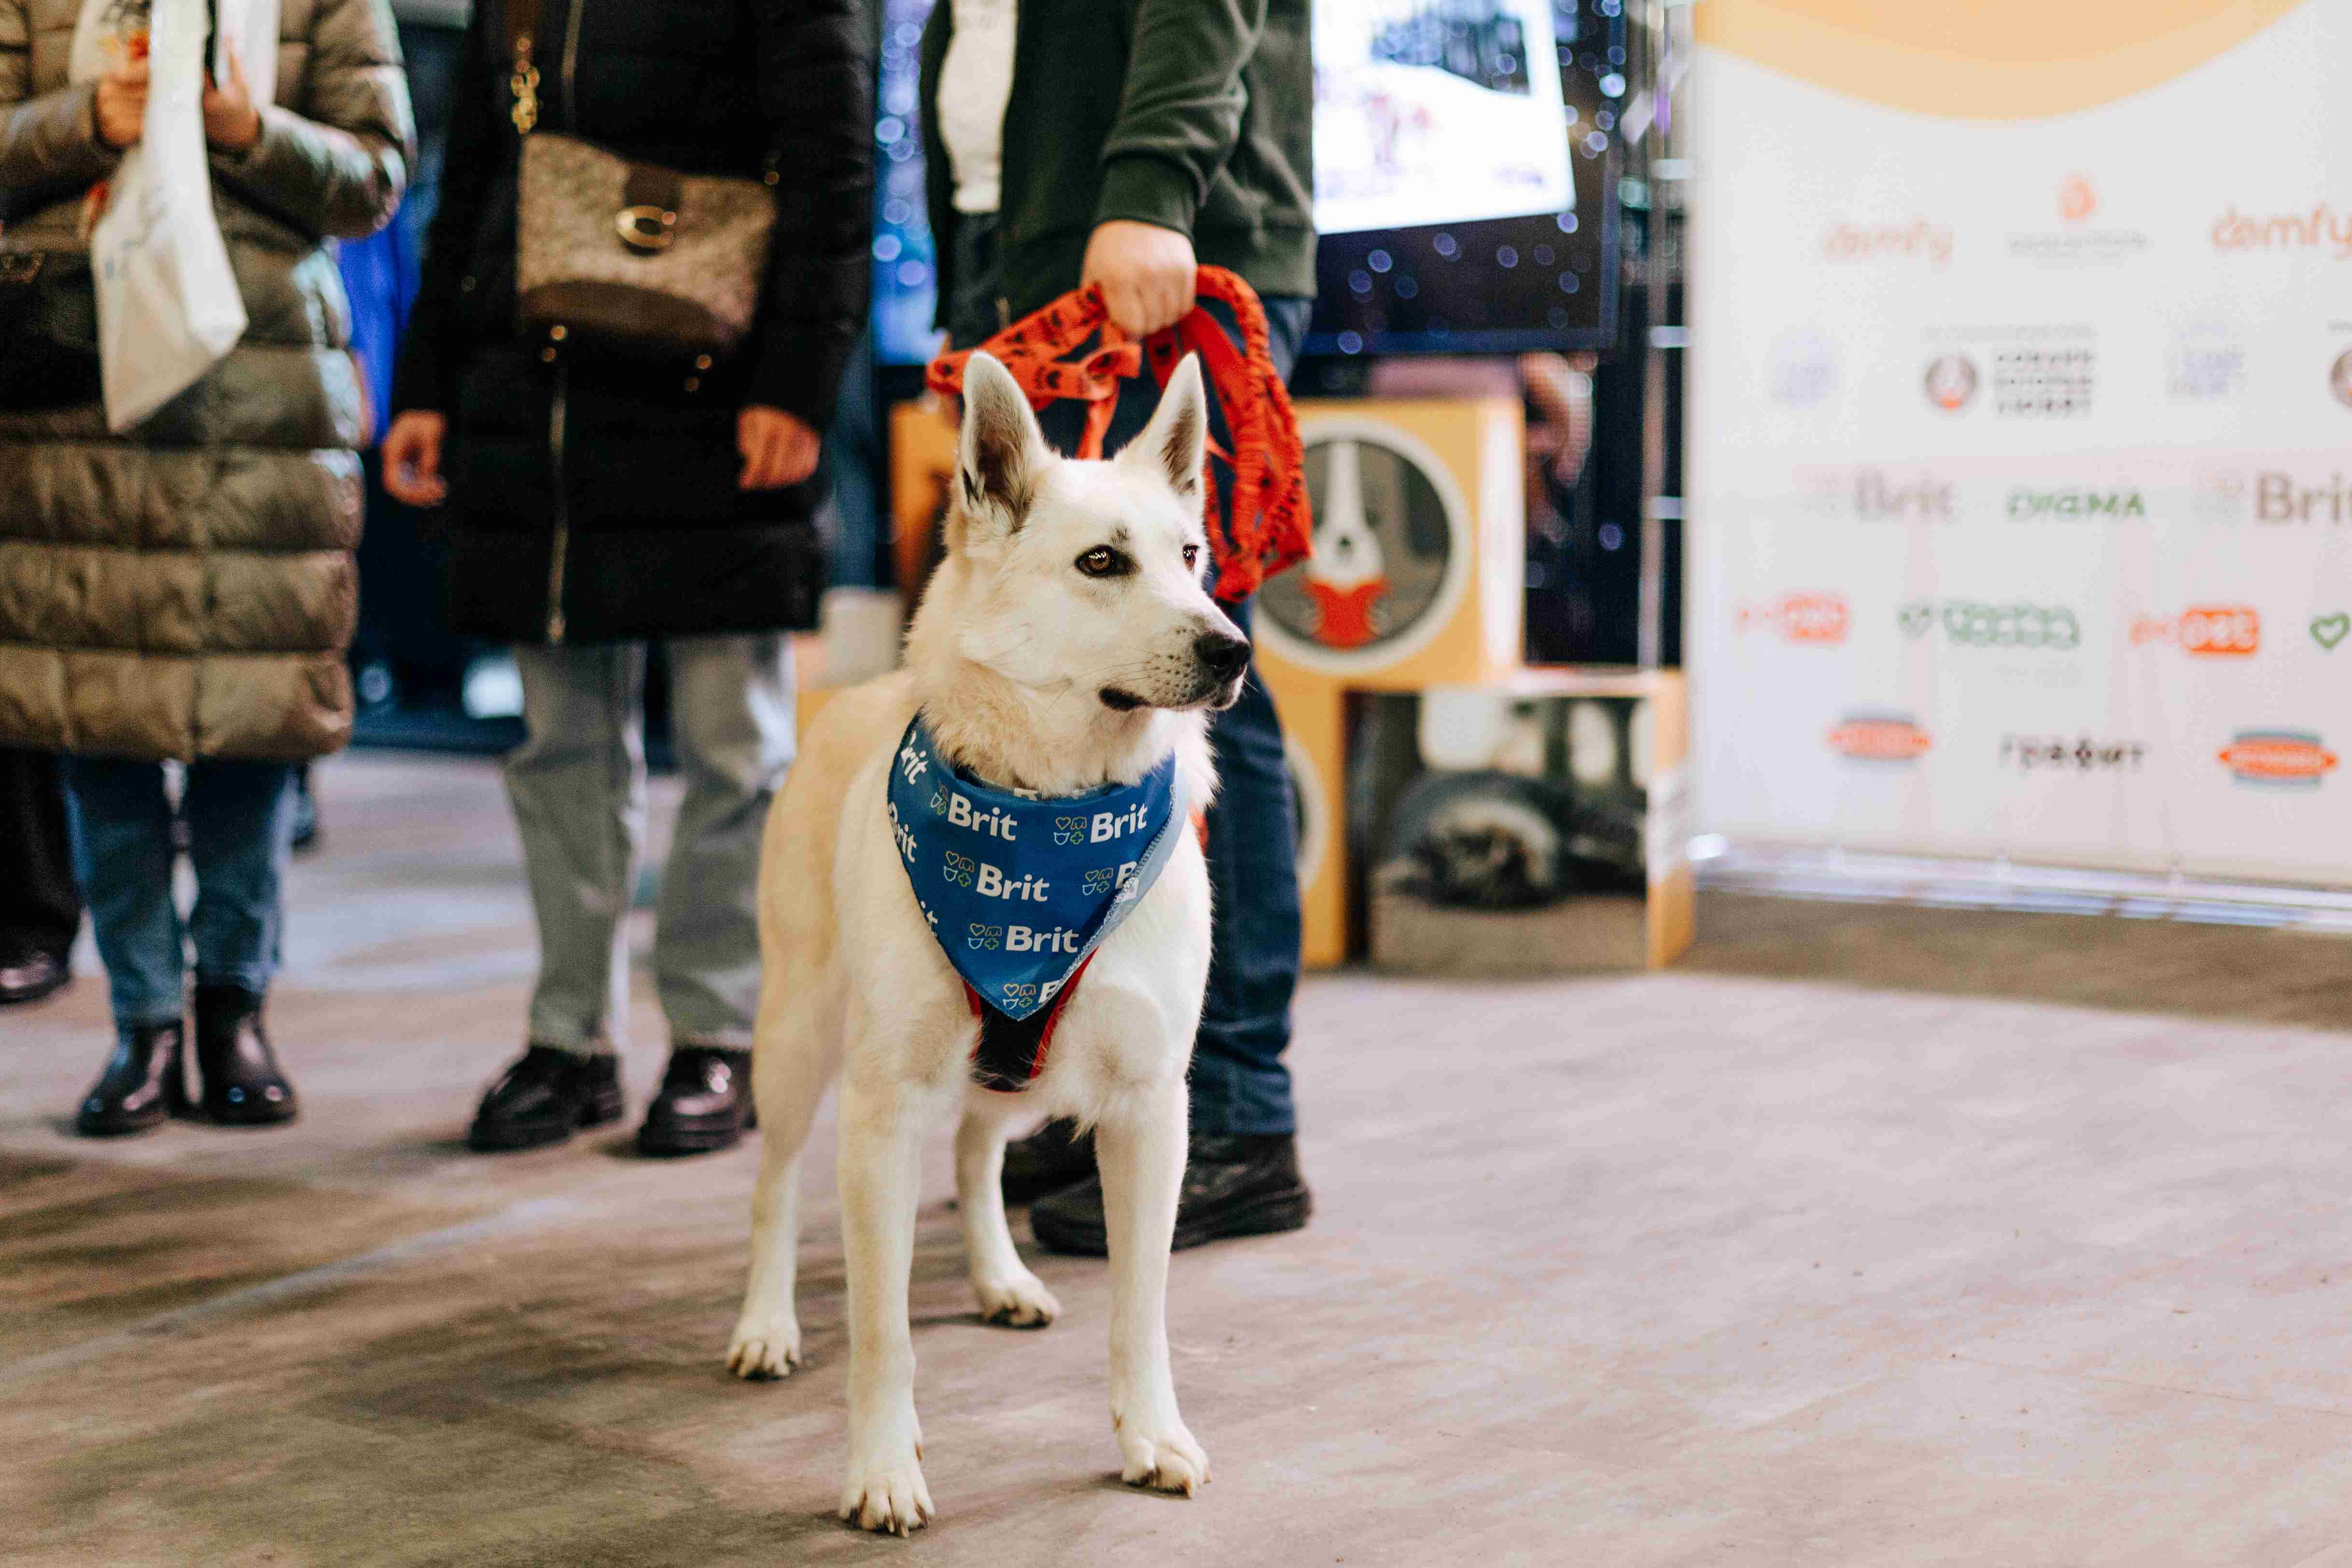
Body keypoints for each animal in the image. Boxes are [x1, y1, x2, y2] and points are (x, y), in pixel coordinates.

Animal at [729, 352, 1251, 1532]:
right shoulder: (879, 1115)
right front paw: (881, 1468)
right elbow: (882, 1333)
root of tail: (854, 695)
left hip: (1010, 1079)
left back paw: (998, 1276)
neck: (1048, 824)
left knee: (976, 1151)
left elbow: (1141, 1305)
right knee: (774, 1186)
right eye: (1102, 561)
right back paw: (766, 1323)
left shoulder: (1151, 1111)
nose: (1231, 646)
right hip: (796, 1046)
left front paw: (1151, 1435)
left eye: (1191, 557)